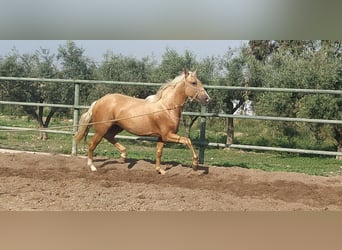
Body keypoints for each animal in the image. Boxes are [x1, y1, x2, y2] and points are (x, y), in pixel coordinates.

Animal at [73, 68, 210, 174]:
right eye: (193, 83)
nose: (207, 99)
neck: (167, 107)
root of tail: (98, 101)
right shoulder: (168, 135)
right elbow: (187, 140)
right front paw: (195, 165)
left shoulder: (161, 137)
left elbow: (159, 152)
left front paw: (160, 170)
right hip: (101, 128)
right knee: (92, 144)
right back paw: (92, 166)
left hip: (116, 127)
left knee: (109, 137)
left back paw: (123, 156)